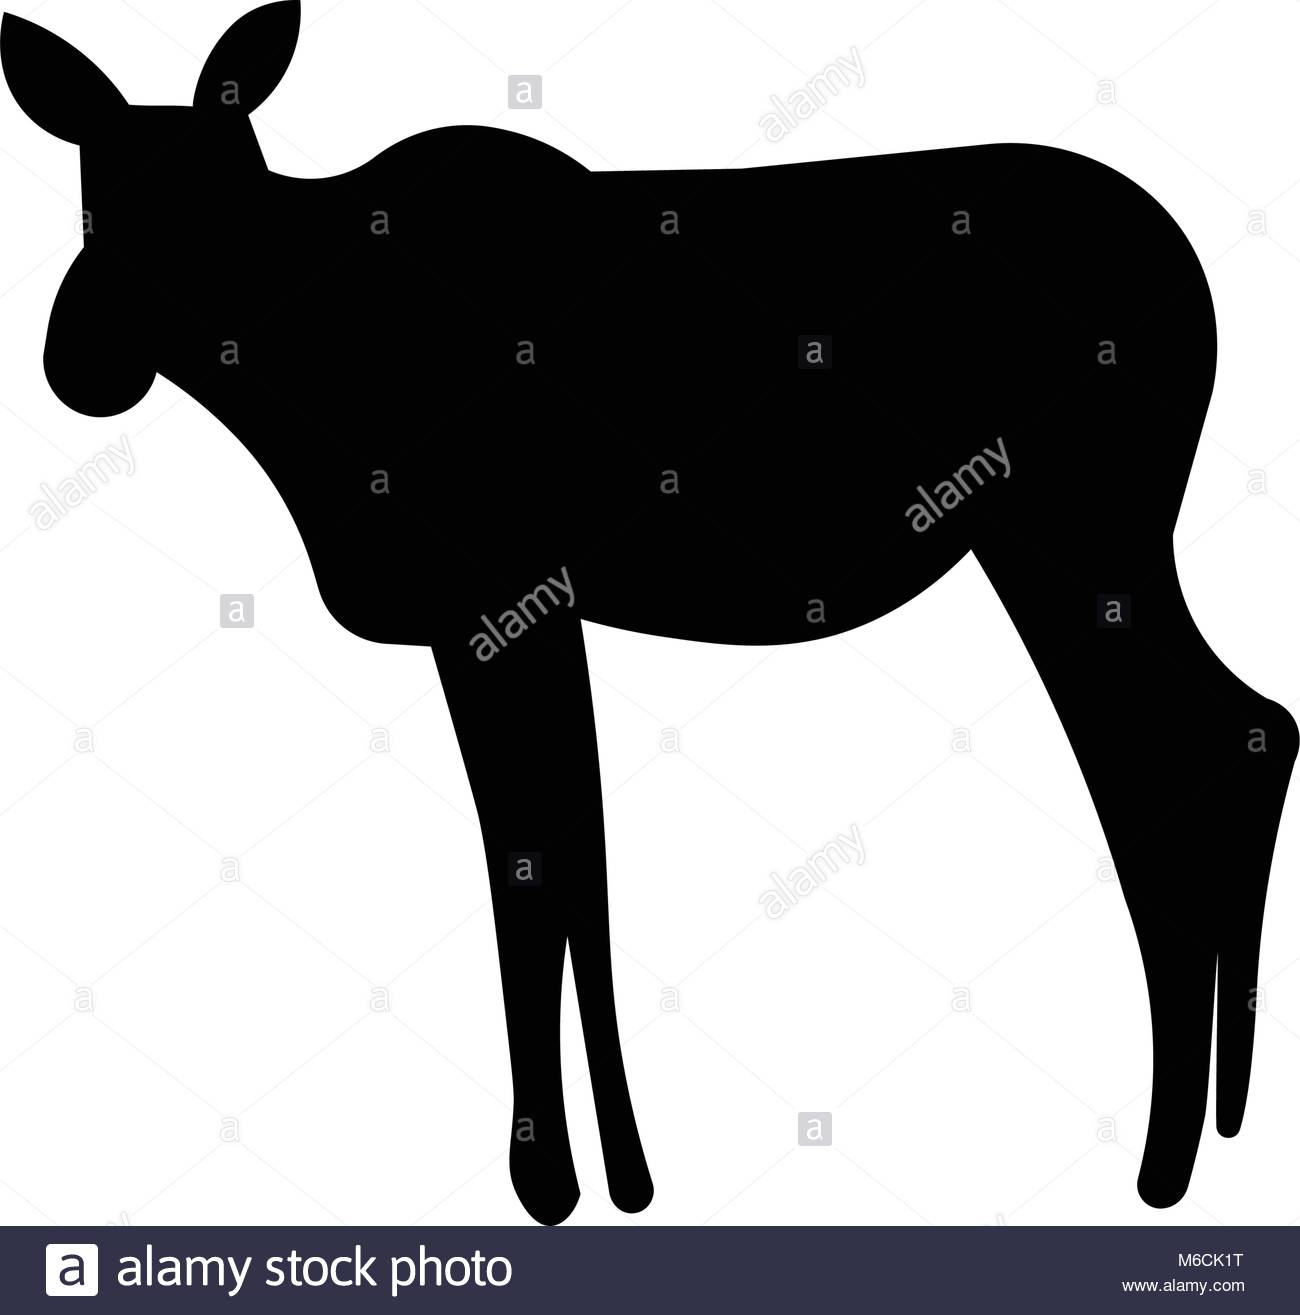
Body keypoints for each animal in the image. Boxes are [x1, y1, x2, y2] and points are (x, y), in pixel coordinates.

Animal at [3, 0, 1295, 1225]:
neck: (294, 383)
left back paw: (1171, 1155)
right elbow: (571, 866)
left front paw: (555, 1179)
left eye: (210, 187)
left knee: (1200, 748)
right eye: (88, 191)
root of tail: (1194, 282)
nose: (81, 362)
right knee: (1219, 736)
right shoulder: (522, 617)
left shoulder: (494, 604)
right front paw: (616, 1177)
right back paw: (1206, 1131)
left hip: (1076, 525)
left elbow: (537, 871)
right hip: (1066, 539)